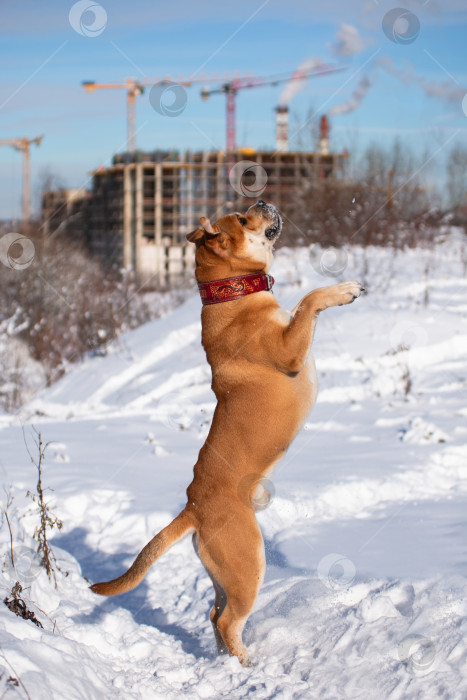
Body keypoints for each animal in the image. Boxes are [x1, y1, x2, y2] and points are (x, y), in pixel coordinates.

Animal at [89, 200, 364, 664]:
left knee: (214, 613)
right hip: (248, 562)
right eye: (242, 218)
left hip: (224, 573)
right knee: (227, 620)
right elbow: (308, 301)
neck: (232, 291)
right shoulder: (290, 348)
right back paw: (249, 664)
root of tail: (193, 509)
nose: (263, 201)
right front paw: (342, 290)